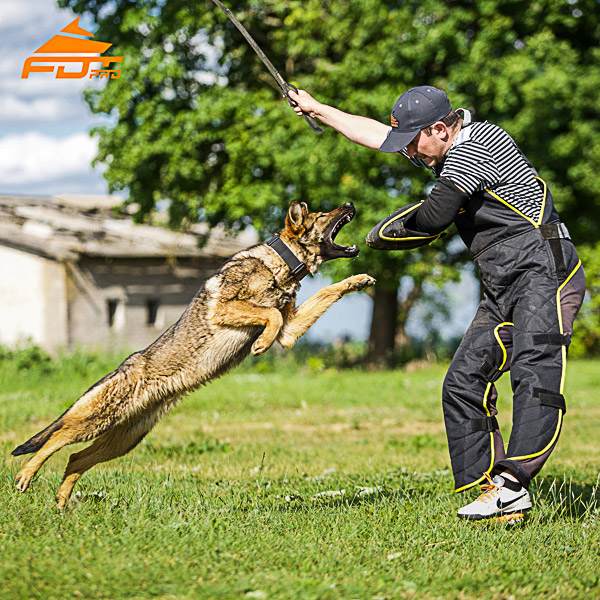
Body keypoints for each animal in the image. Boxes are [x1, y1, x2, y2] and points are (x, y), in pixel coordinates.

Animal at [11, 200, 372, 506]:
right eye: (323, 214)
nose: (350, 203)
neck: (280, 262)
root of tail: (125, 368)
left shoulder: (291, 331)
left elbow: (322, 294)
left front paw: (356, 280)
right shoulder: (227, 308)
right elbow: (272, 313)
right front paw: (260, 343)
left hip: (122, 439)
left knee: (75, 458)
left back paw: (62, 505)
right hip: (96, 420)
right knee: (55, 439)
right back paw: (26, 476)